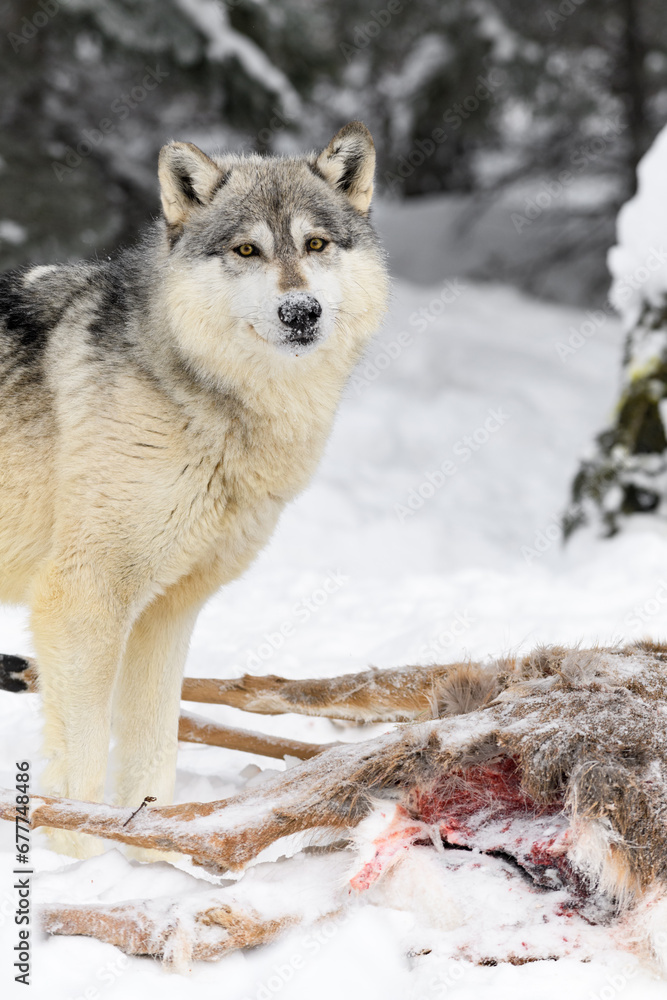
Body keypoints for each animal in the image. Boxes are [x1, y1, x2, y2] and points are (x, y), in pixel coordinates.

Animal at [0, 121, 388, 857]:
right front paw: (78, 857)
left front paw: (147, 841)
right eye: (246, 250)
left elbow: (152, 754)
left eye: (316, 245)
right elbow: (82, 760)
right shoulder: (82, 599)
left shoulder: (167, 611)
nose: (300, 311)